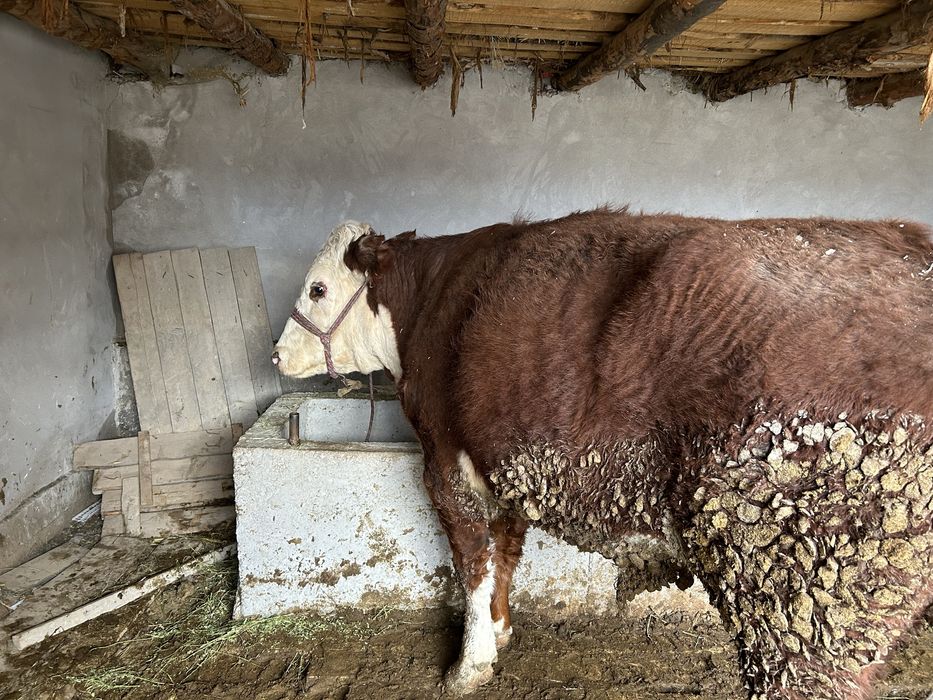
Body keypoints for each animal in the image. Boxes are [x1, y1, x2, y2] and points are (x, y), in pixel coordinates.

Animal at [272, 209, 933, 699]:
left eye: (318, 287)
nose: (276, 355)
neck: (428, 304)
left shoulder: (445, 465)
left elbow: (473, 566)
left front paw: (469, 664)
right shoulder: (506, 463)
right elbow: (506, 554)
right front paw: (502, 633)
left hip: (796, 576)